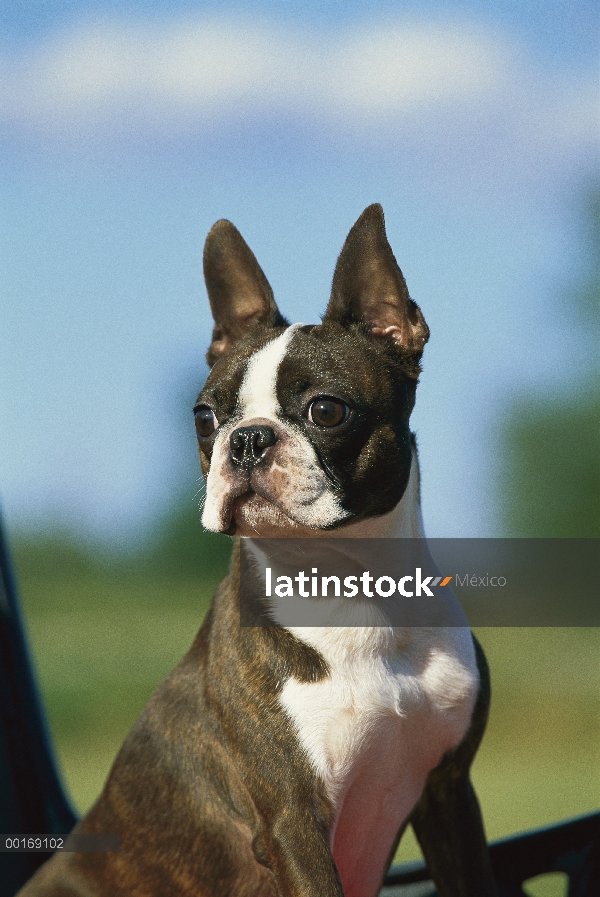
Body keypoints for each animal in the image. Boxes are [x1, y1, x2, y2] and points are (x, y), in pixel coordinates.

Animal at [18, 205, 496, 896]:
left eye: (327, 410)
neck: (354, 593)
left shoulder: (450, 793)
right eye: (204, 418)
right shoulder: (292, 820)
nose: (246, 439)